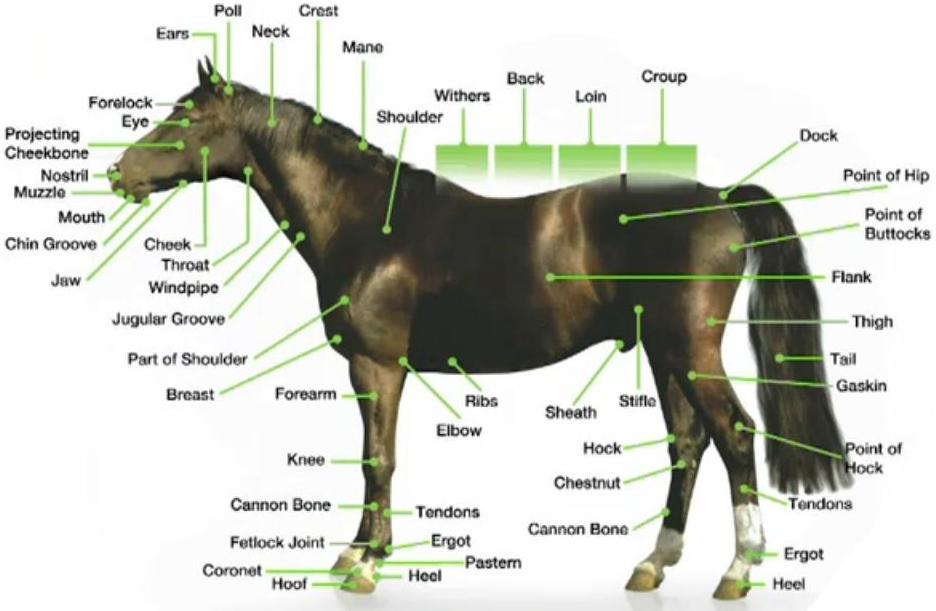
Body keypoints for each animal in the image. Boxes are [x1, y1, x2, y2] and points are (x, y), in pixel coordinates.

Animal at [109, 59, 850, 599]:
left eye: (186, 117)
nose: (119, 172)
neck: (366, 220)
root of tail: (721, 200)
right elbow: (371, 455)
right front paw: (354, 550)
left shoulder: (378, 364)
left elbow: (379, 457)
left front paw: (367, 565)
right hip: (665, 355)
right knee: (689, 443)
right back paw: (652, 562)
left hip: (687, 350)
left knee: (735, 435)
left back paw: (738, 570)